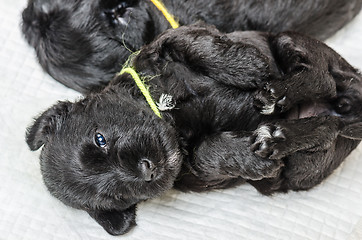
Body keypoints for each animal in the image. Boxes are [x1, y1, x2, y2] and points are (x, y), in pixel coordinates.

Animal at [25, 25, 362, 235]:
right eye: (114, 195)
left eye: (100, 139)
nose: (147, 170)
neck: (169, 116)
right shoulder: (202, 175)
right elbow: (206, 152)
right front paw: (252, 159)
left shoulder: (166, 42)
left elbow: (188, 43)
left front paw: (246, 66)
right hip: (299, 171)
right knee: (328, 126)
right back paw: (277, 136)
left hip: (291, 41)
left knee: (320, 78)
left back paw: (274, 95)